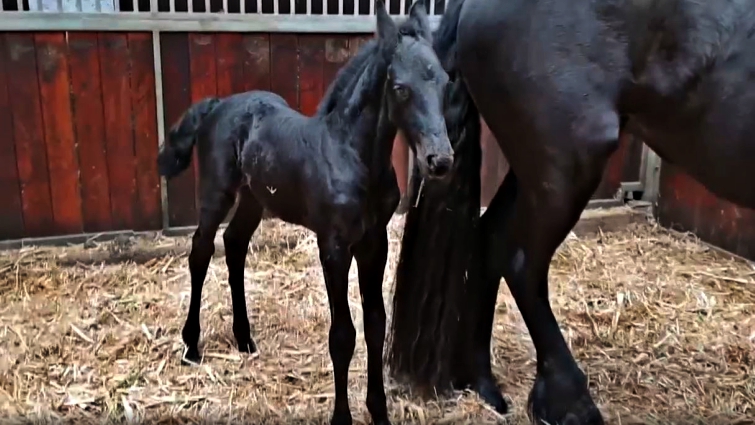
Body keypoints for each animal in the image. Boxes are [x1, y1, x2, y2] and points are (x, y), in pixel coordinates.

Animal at [155, 1, 451, 423]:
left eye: (443, 82)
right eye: (400, 88)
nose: (440, 161)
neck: (354, 154)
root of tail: (218, 104)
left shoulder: (374, 243)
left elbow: (375, 325)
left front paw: (378, 411)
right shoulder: (334, 246)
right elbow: (343, 335)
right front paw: (342, 417)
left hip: (254, 197)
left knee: (234, 244)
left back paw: (244, 338)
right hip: (217, 192)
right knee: (201, 251)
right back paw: (192, 345)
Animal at [385, 0, 755, 424]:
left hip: (538, 170)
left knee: (491, 238)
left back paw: (484, 382)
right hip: (568, 164)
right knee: (521, 262)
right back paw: (568, 399)